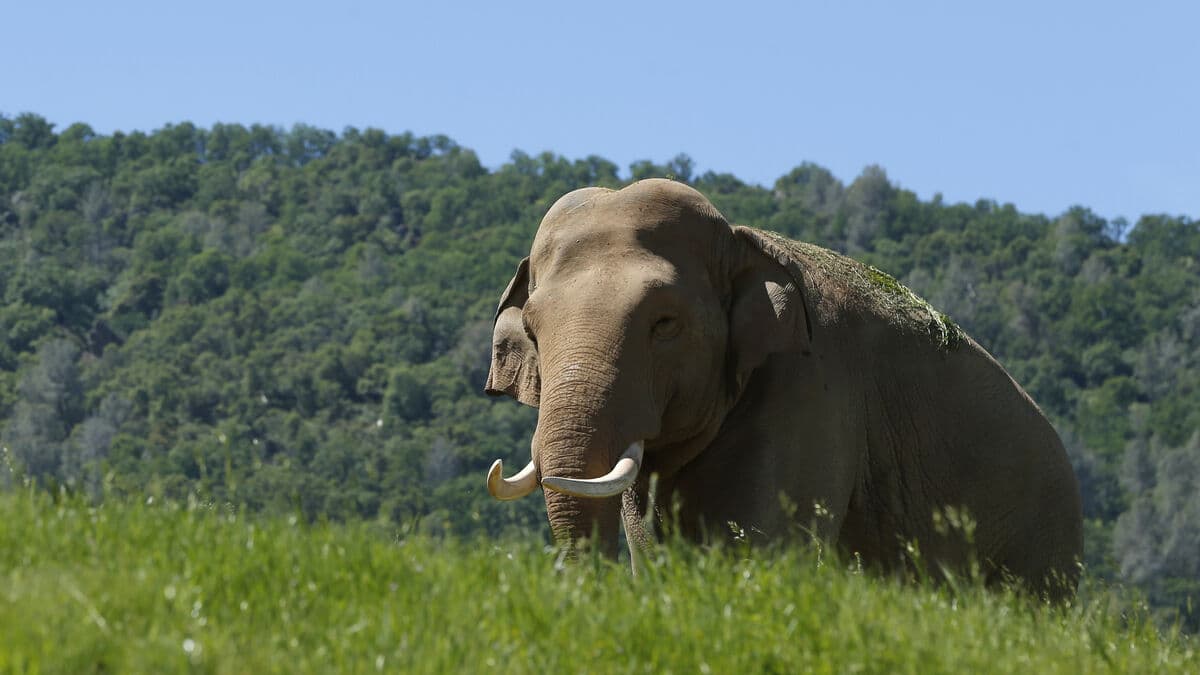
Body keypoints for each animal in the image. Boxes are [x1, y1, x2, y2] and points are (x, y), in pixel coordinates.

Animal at [483, 178, 1083, 599]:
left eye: (665, 324)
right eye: (532, 328)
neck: (743, 241)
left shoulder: (810, 394)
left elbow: (762, 540)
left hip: (1041, 541)